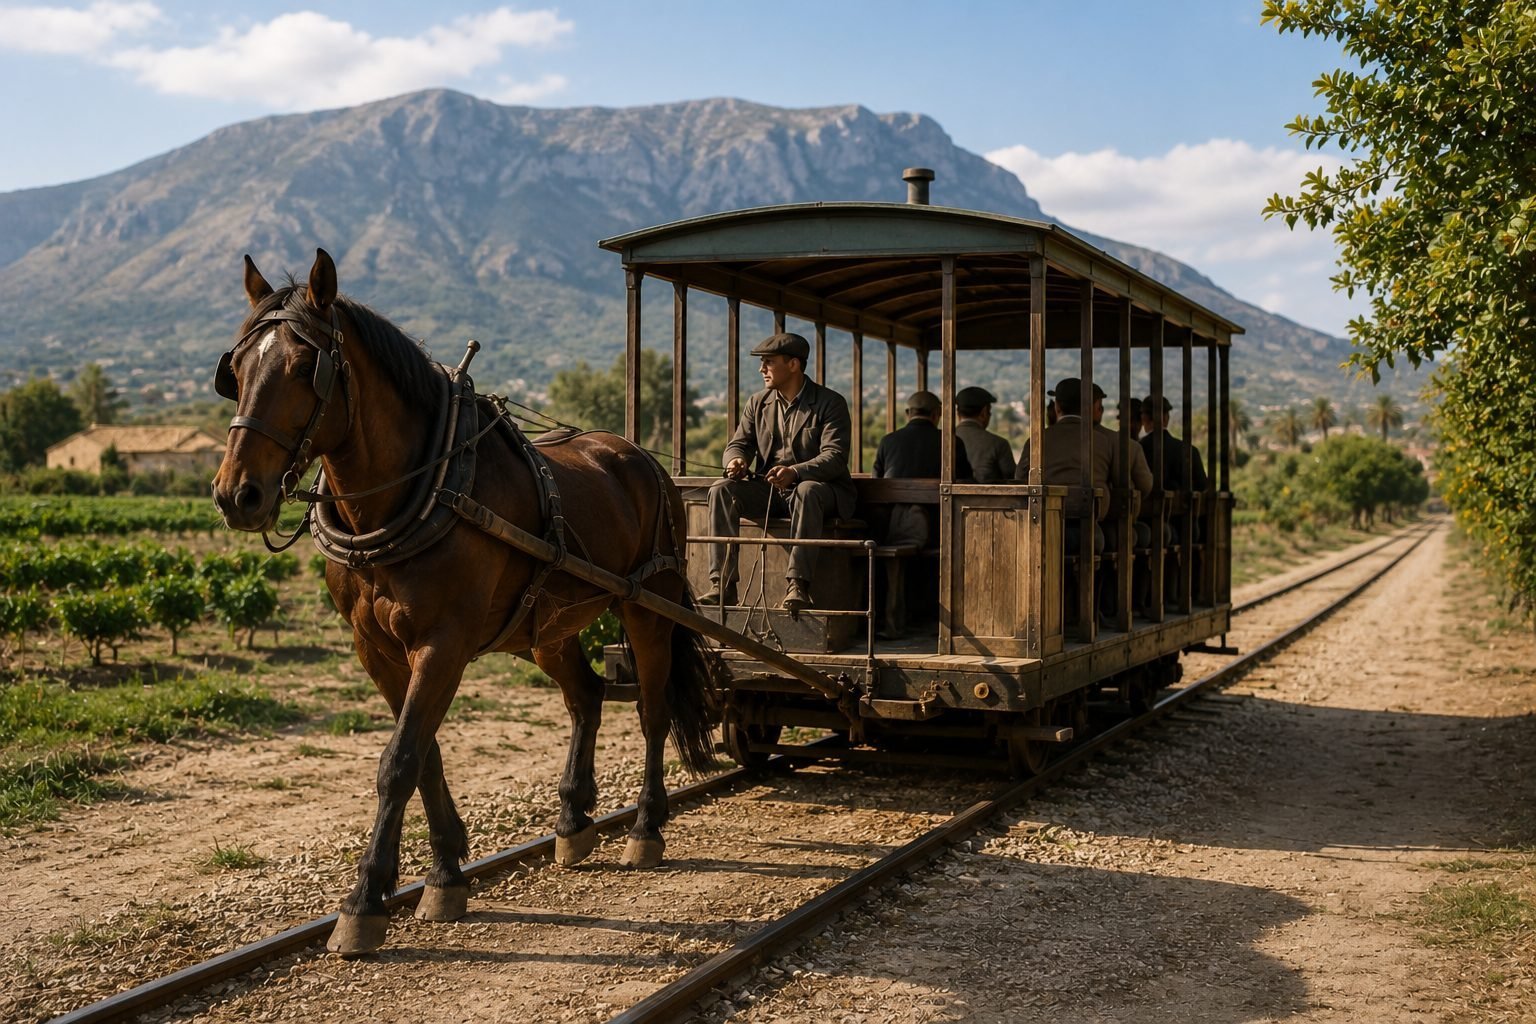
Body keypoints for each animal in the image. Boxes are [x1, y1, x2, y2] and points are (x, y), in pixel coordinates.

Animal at [211, 248, 720, 955]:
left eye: (301, 368)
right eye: (235, 370)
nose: (238, 495)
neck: (417, 489)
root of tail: (642, 459)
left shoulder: (443, 643)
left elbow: (398, 760)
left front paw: (365, 900)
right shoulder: (376, 650)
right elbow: (424, 754)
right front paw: (447, 872)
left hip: (648, 608)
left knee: (651, 709)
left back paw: (646, 827)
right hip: (548, 627)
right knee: (586, 696)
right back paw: (572, 820)